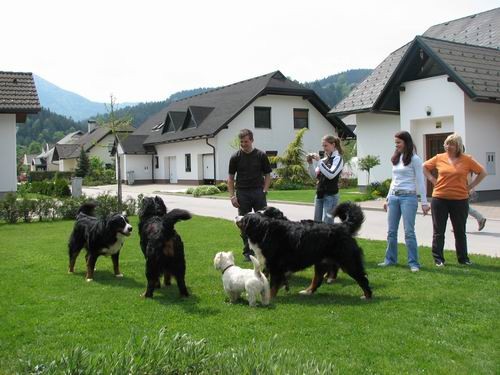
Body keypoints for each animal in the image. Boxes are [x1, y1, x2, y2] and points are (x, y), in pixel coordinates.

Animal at [237, 201, 372, 302]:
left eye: (244, 218)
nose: (236, 216)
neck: (265, 230)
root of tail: (342, 226)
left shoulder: (276, 266)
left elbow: (273, 285)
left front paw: (269, 298)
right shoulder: (269, 265)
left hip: (348, 261)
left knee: (362, 278)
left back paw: (367, 296)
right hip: (321, 262)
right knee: (317, 279)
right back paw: (307, 291)